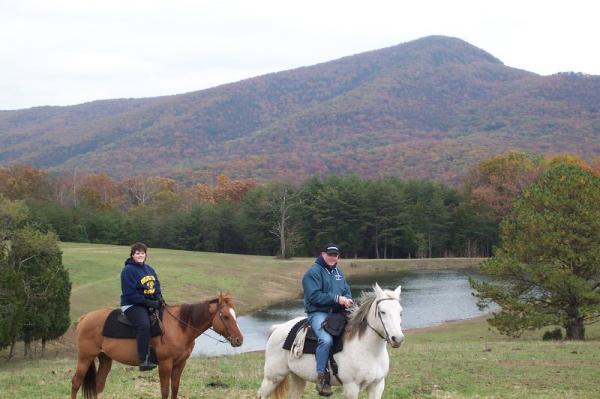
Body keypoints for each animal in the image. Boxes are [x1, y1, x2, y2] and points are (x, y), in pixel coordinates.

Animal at [72, 292, 244, 398]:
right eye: (226, 316)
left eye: (235, 315)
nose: (239, 340)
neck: (179, 327)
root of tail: (84, 318)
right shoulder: (165, 364)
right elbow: (165, 391)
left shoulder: (180, 364)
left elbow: (175, 389)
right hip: (85, 357)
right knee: (76, 383)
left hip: (105, 358)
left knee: (99, 384)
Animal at [258, 284, 404, 399]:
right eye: (382, 311)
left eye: (400, 312)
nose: (397, 338)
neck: (368, 351)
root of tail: (277, 328)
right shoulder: (351, 388)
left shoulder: (377, 386)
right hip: (272, 378)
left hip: (298, 377)